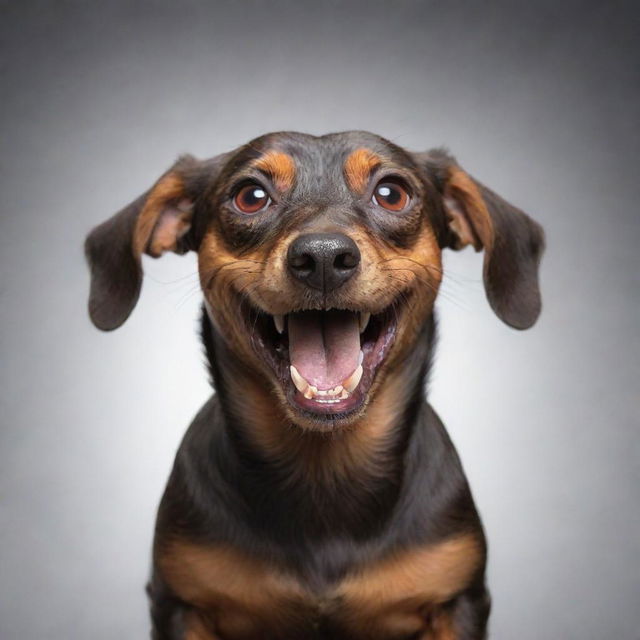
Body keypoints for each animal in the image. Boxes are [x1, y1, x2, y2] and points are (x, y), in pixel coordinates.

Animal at [85, 131, 544, 640]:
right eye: (250, 196)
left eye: (392, 193)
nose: (323, 257)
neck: (324, 471)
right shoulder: (181, 604)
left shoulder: (456, 602)